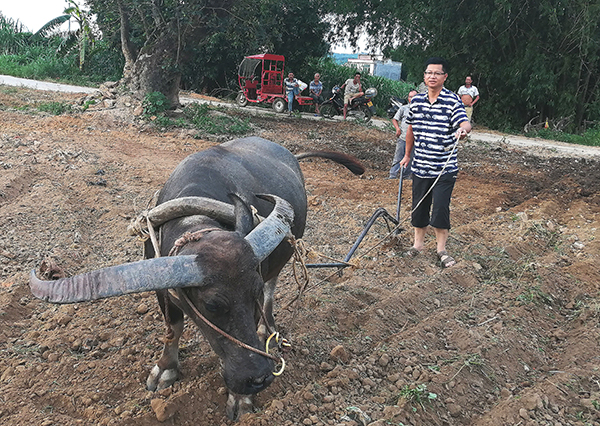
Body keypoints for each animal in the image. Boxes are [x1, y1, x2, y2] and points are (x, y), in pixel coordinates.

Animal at [30, 136, 364, 420]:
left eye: (252, 294)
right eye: (213, 305)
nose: (257, 378)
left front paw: (240, 399)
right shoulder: (163, 288)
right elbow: (173, 327)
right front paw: (165, 369)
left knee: (273, 288)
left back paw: (269, 328)